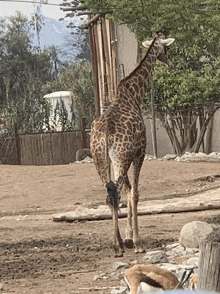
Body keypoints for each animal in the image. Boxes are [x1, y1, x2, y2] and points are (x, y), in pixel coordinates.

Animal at [90, 32, 174, 258]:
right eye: (166, 48)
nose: (170, 62)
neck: (134, 93)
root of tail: (104, 134)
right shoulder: (140, 151)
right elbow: (134, 193)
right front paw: (135, 242)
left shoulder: (120, 158)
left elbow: (127, 191)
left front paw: (127, 238)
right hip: (121, 157)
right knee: (115, 193)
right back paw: (120, 246)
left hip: (101, 160)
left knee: (110, 194)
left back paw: (117, 244)